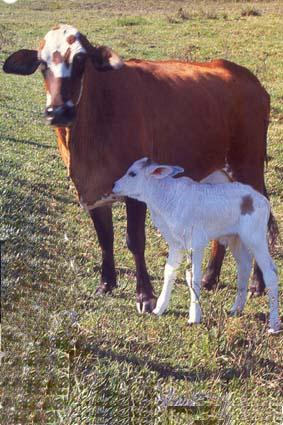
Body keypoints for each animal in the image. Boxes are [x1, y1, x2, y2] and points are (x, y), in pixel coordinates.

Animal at [2, 24, 278, 312]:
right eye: (42, 64)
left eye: (80, 60)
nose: (57, 111)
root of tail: (248, 78)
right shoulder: (92, 192)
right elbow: (105, 238)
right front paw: (106, 284)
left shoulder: (137, 190)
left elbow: (135, 241)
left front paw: (145, 296)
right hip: (217, 173)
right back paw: (211, 278)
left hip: (248, 166)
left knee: (261, 219)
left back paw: (257, 284)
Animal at [113, 157, 282, 332]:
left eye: (132, 174)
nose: (114, 186)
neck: (165, 197)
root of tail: (262, 200)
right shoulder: (176, 244)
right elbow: (169, 272)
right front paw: (159, 309)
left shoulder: (195, 244)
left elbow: (193, 277)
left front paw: (194, 317)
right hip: (235, 238)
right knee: (244, 265)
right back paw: (236, 309)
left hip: (256, 238)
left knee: (270, 272)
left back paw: (274, 324)